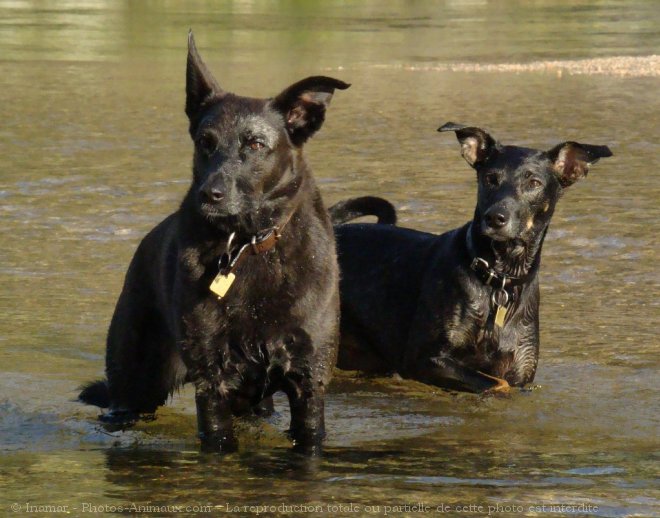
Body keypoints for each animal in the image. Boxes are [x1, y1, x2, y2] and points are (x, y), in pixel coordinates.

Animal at [78, 33, 350, 456]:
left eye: (255, 145)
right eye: (205, 142)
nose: (209, 194)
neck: (248, 244)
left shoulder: (308, 382)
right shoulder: (213, 383)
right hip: (135, 385)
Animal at [330, 124, 612, 394]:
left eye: (534, 183)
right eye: (490, 178)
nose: (495, 217)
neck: (500, 276)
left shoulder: (521, 371)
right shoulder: (423, 359)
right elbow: (497, 384)